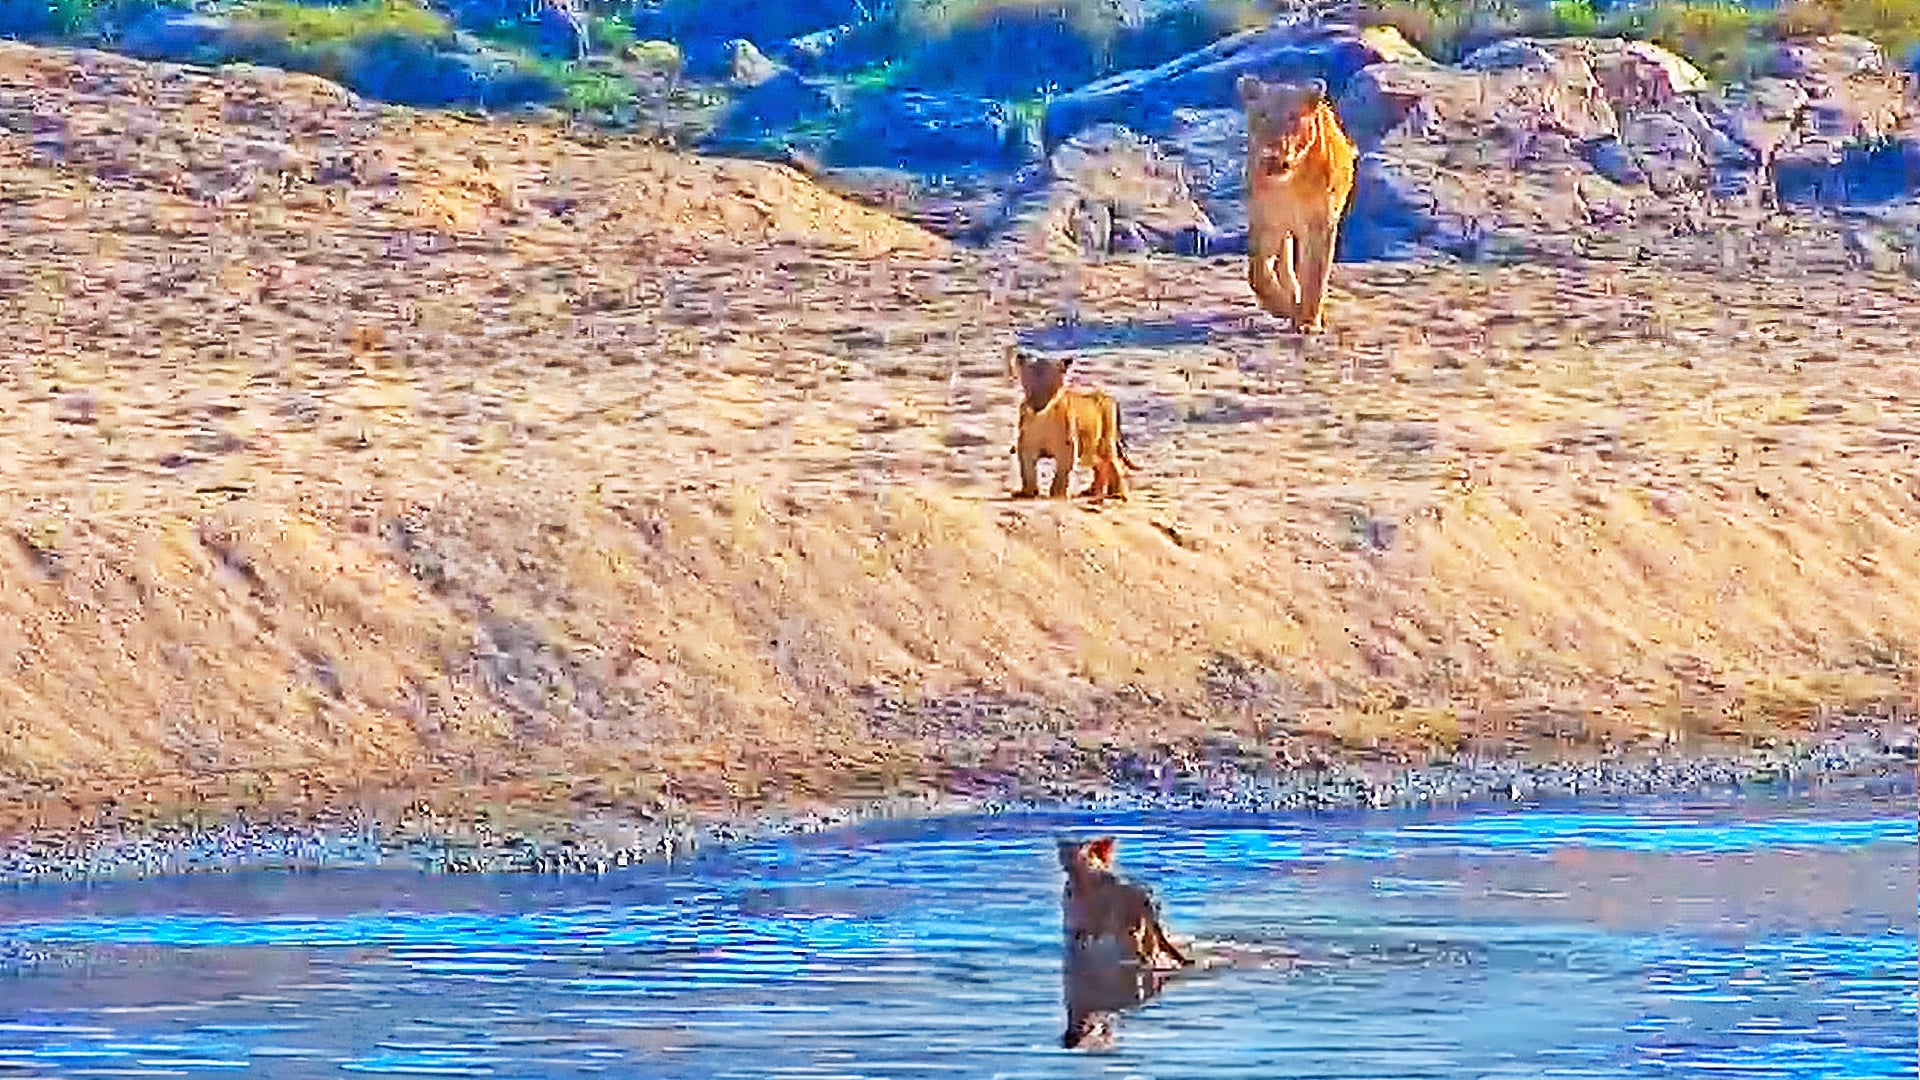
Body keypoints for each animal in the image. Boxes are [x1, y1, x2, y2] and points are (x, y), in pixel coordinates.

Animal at [1006, 346, 1139, 502]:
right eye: (1029, 384)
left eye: (1051, 385)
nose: (1037, 404)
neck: (1042, 416)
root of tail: (1109, 397)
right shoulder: (1026, 445)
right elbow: (1027, 470)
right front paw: (1027, 492)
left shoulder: (1067, 446)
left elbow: (1061, 473)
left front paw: (1057, 494)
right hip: (1093, 448)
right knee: (1100, 466)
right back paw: (1091, 491)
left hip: (1106, 442)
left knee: (1114, 464)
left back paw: (1117, 493)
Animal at [1237, 74, 1359, 334]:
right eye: (1263, 114)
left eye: (1293, 117)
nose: (1273, 155)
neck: (1289, 184)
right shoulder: (1266, 220)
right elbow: (1257, 272)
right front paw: (1282, 307)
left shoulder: (1320, 224)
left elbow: (1314, 274)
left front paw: (1308, 322)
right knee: (1283, 263)